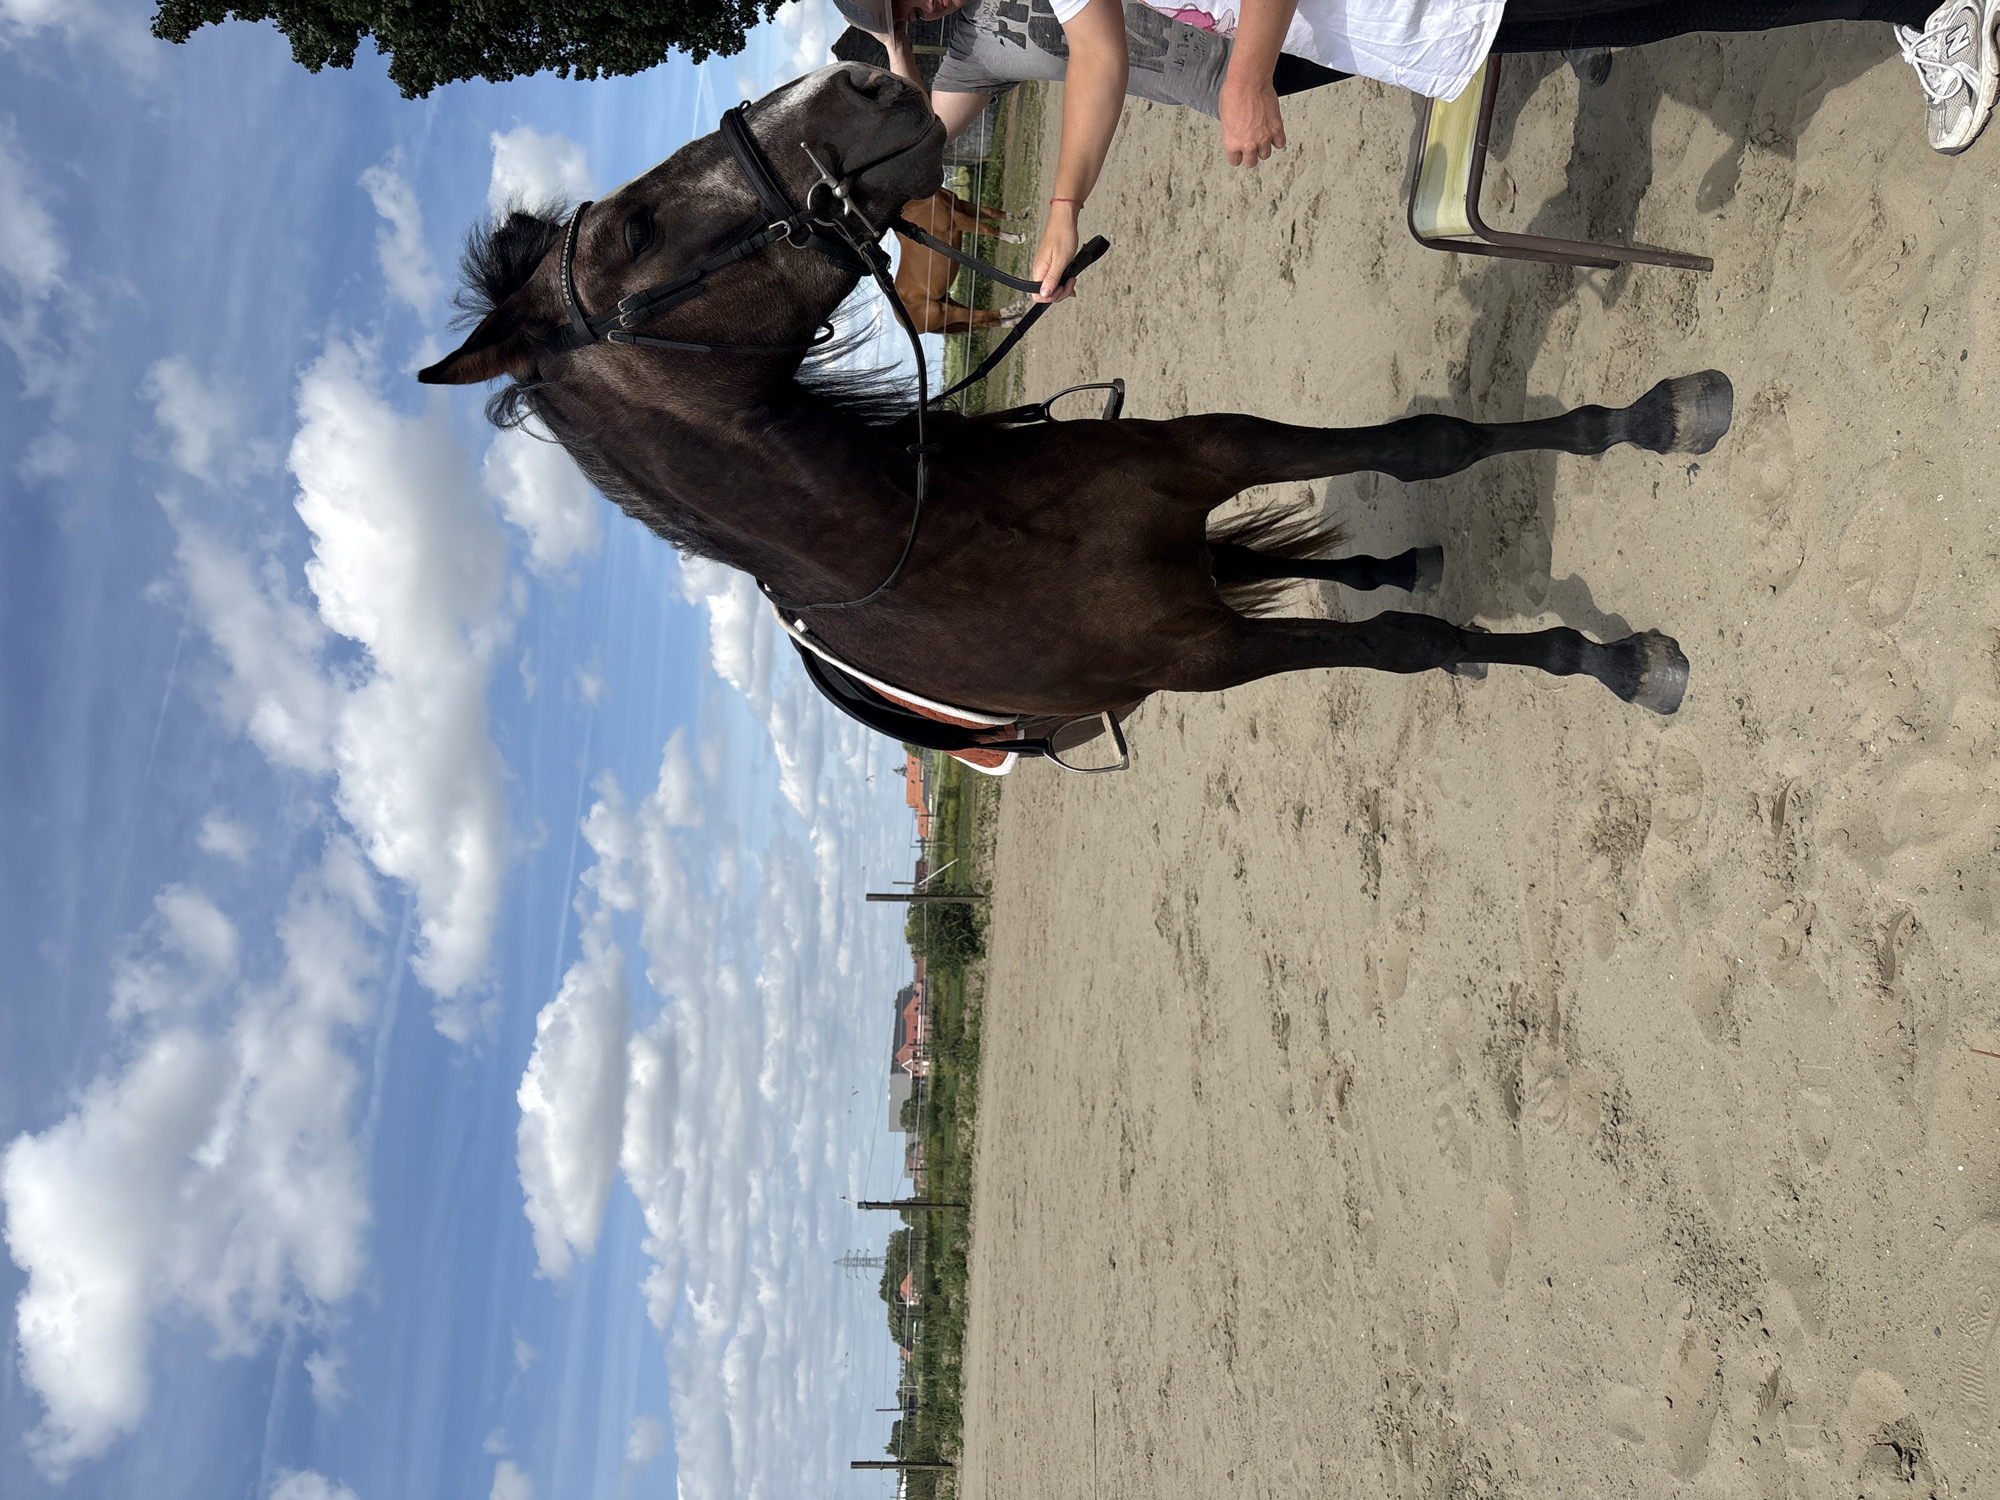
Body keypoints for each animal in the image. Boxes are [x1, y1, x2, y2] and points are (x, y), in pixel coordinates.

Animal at [893, 187, 1030, 335]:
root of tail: (901, 320)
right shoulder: (957, 219)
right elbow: (987, 229)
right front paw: (1016, 238)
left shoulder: (961, 206)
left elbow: (992, 212)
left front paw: (1020, 216)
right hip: (947, 312)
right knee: (978, 316)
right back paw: (1012, 310)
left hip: (948, 301)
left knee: (979, 321)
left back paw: (1013, 319)